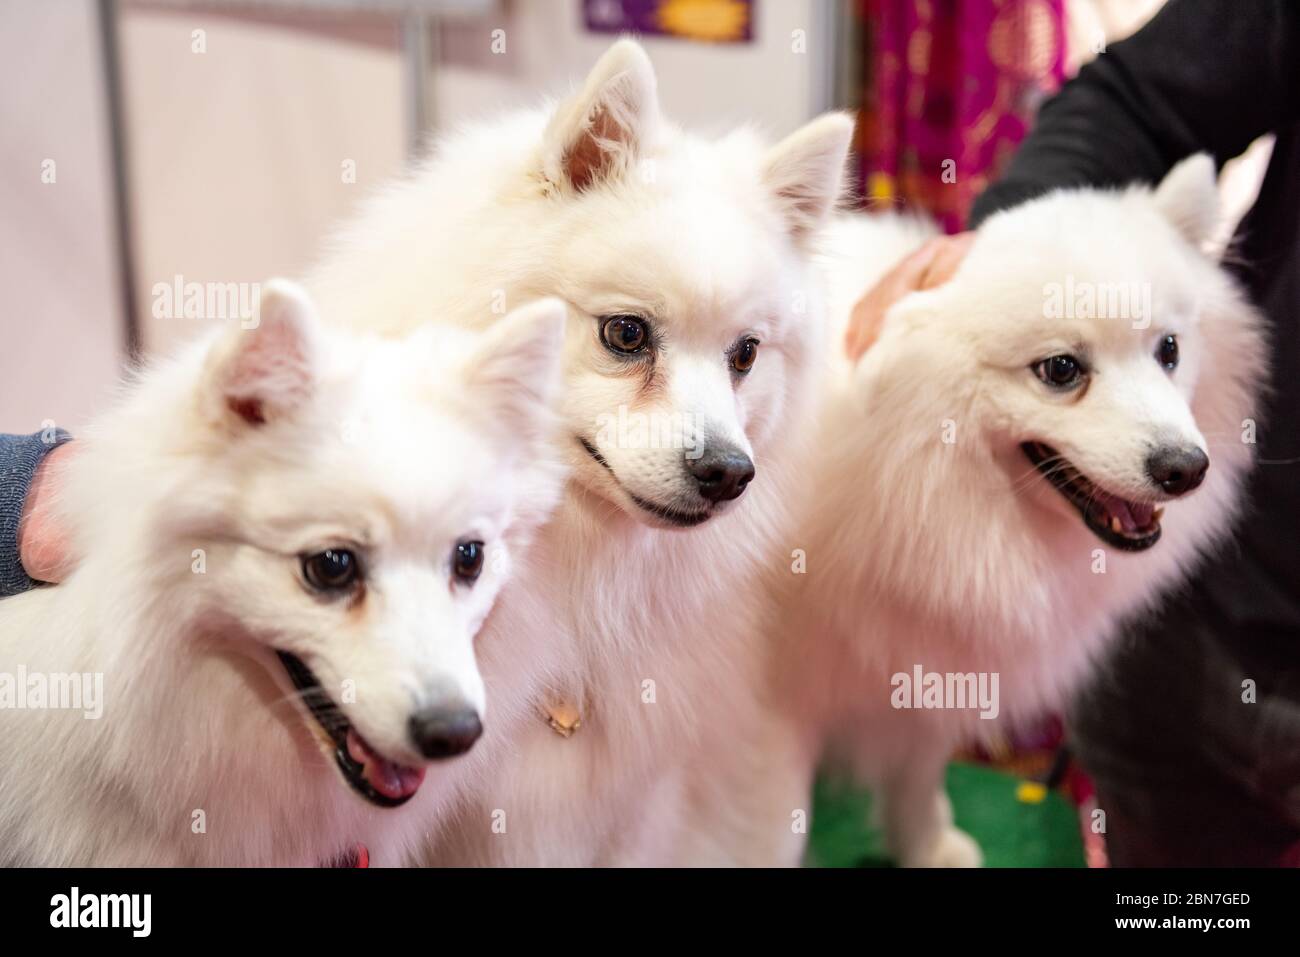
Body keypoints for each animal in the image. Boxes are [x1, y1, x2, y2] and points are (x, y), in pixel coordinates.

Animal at [707, 155, 1263, 868]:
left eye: (1169, 350)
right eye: (1061, 370)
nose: (1186, 468)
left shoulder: (921, 660)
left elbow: (916, 771)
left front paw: (926, 844)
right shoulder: (764, 714)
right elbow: (769, 828)